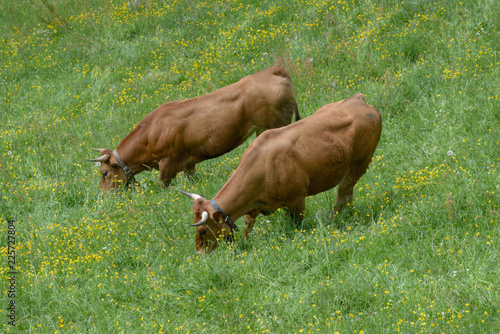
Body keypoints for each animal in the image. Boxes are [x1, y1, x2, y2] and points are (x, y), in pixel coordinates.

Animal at [87, 65, 298, 190]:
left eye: (104, 173)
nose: (105, 197)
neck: (150, 134)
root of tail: (271, 71)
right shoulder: (189, 164)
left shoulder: (169, 164)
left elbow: (163, 186)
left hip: (274, 124)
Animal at [180, 92, 382, 252]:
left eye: (202, 231)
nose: (199, 253)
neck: (262, 165)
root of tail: (357, 100)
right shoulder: (257, 205)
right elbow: (248, 224)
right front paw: (245, 243)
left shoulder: (297, 199)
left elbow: (297, 225)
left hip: (360, 163)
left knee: (343, 193)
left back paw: (333, 219)